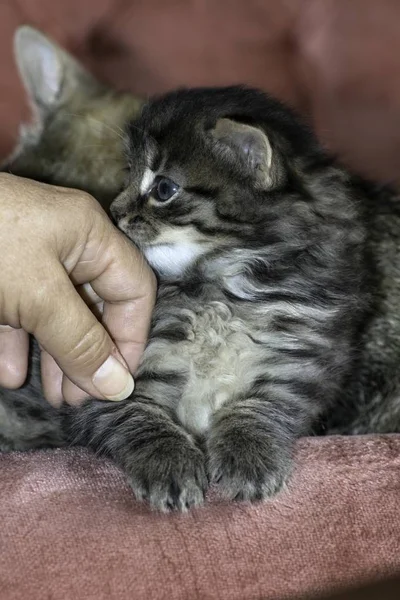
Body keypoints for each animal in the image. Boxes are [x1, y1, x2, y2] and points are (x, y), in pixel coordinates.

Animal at [3, 24, 400, 510]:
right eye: (127, 176)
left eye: (163, 188)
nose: (114, 212)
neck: (215, 287)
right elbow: (134, 415)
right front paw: (168, 463)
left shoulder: (300, 361)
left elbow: (263, 404)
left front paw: (247, 454)